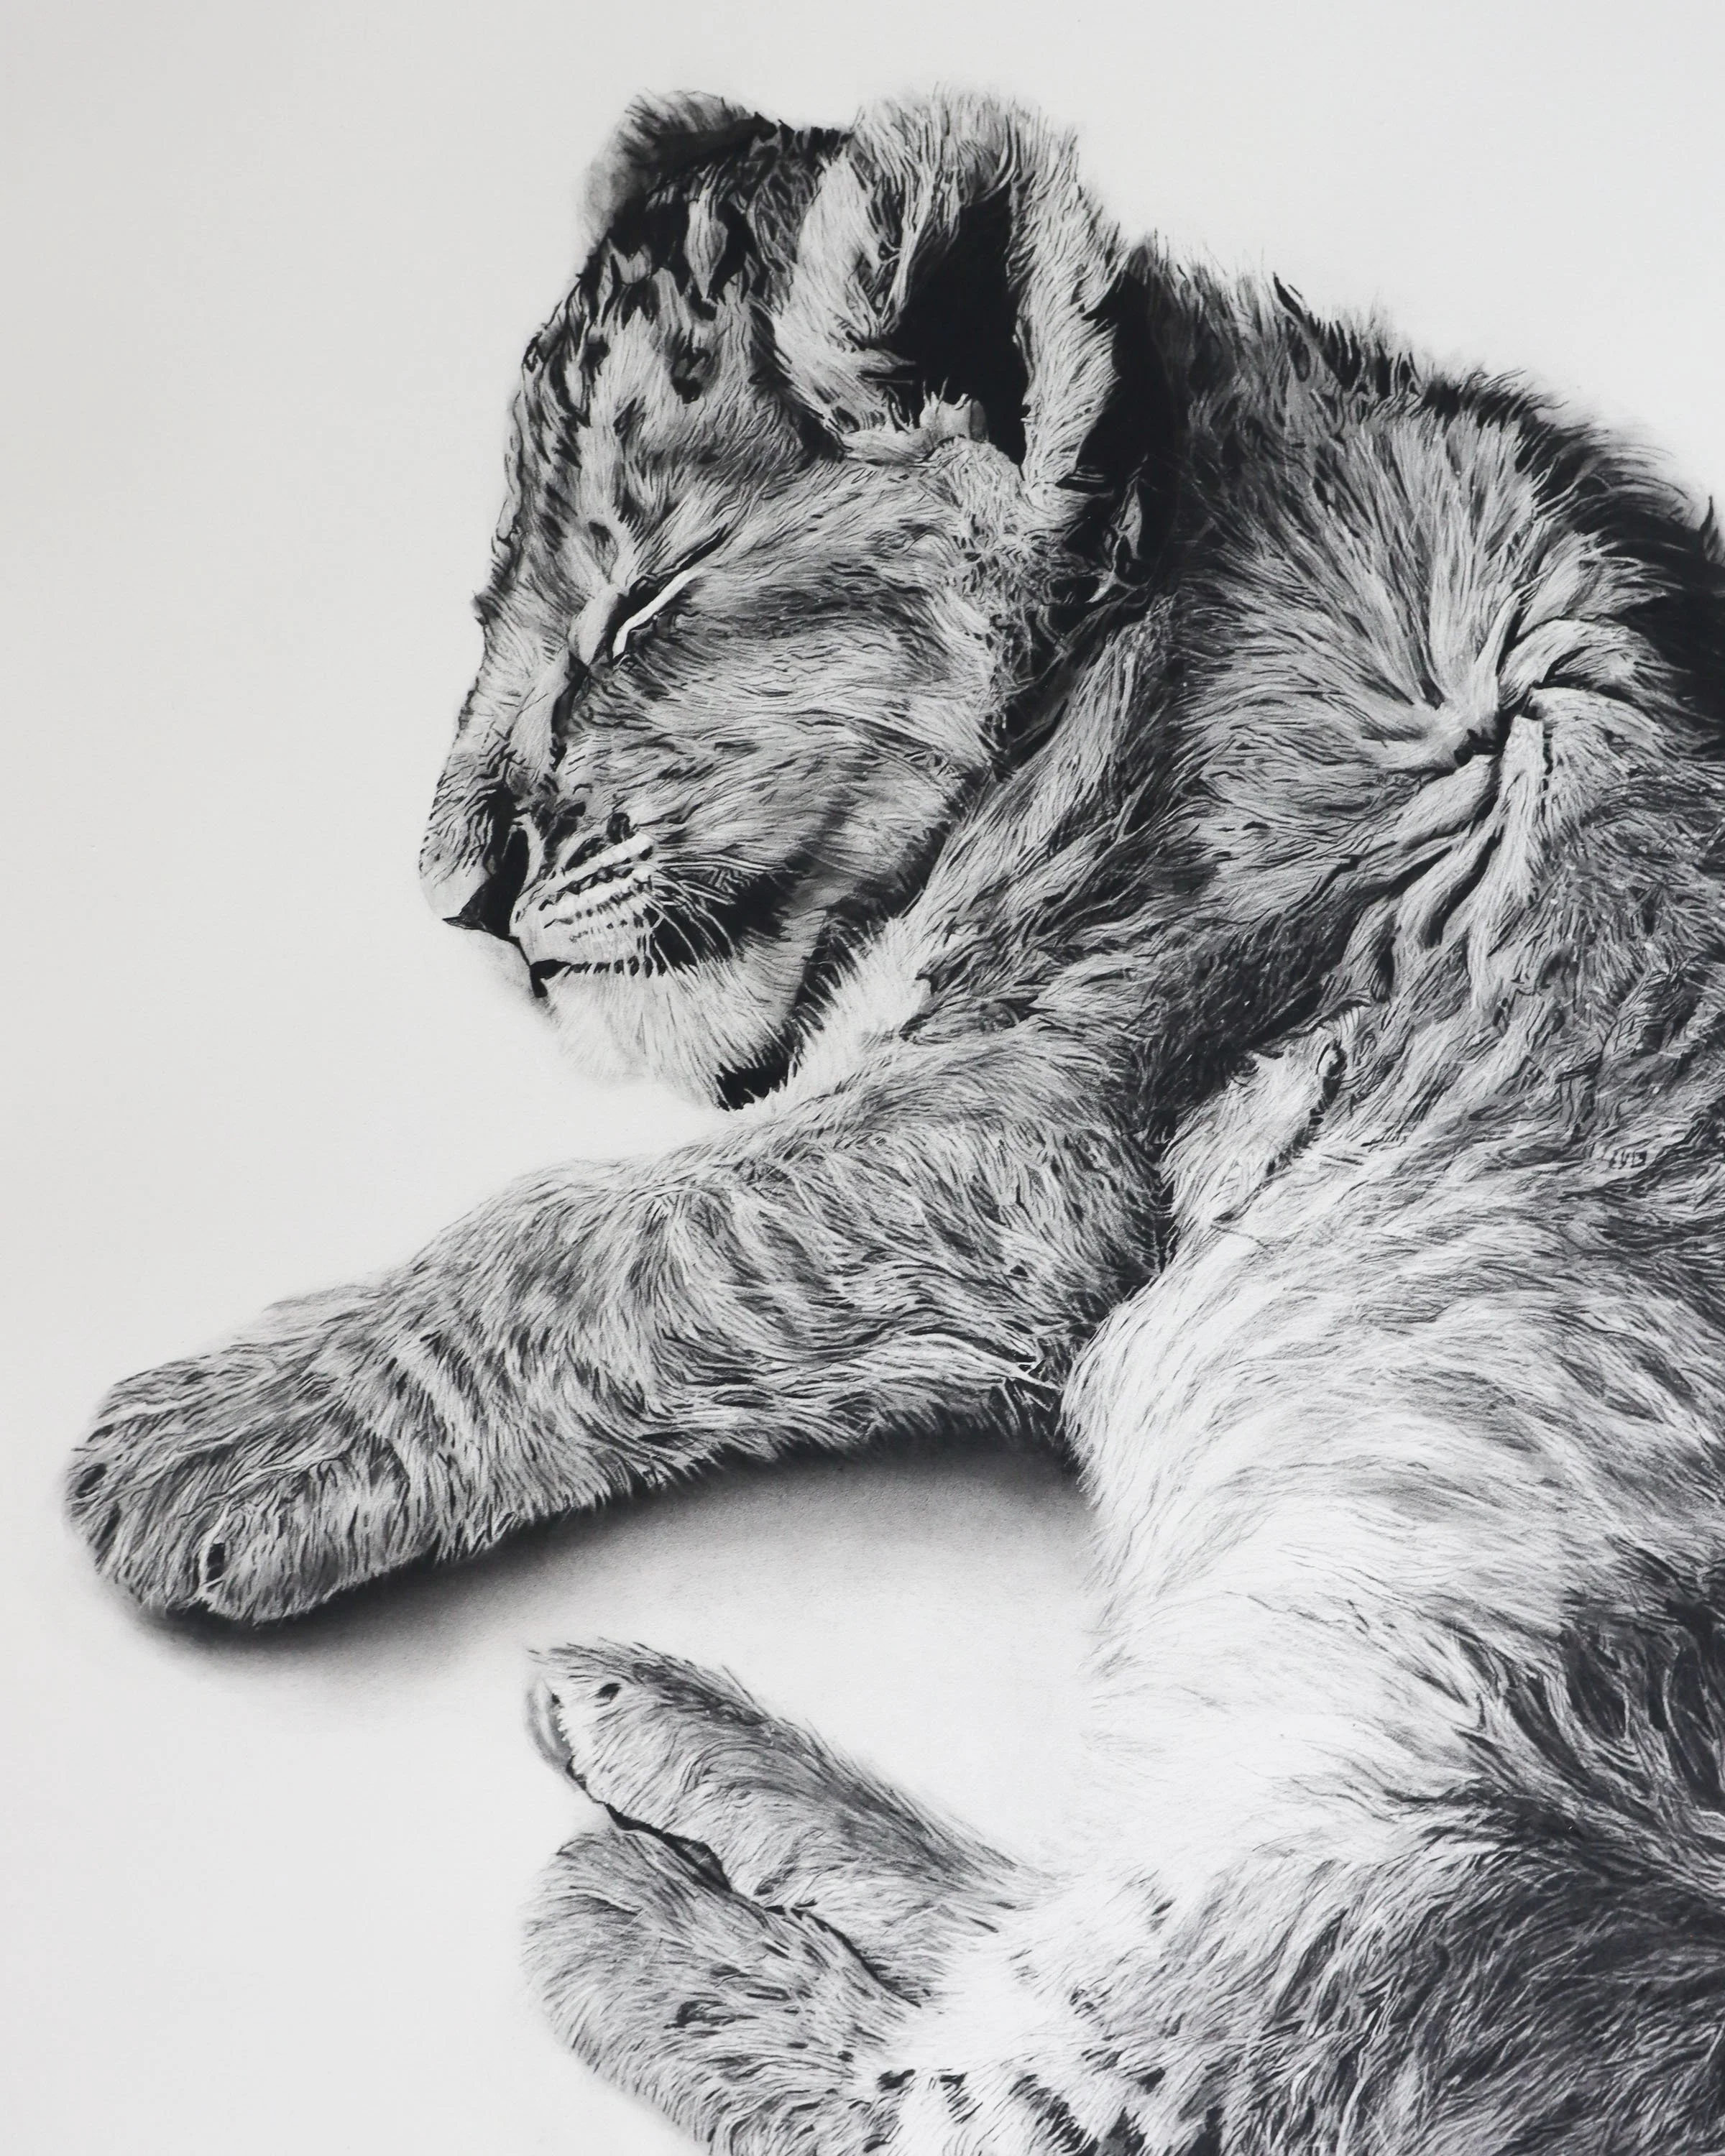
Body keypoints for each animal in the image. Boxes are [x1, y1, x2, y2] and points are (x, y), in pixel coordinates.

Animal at [67, 88, 1725, 2153]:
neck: (1158, 601)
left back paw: (619, 1902)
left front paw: (196, 1449)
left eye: (646, 607)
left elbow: (611, 1233)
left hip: (1428, 1824)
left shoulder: (1022, 1135)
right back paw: (656, 1724)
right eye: (483, 607)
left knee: (988, 2091)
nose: (451, 894)